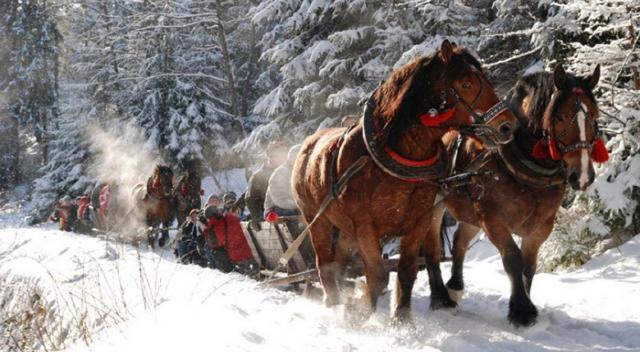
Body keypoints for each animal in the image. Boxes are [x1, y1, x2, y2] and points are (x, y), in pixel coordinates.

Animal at [428, 64, 608, 328]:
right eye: (561, 117)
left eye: (595, 117)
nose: (583, 175)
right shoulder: (493, 220)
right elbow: (513, 259)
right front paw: (521, 311)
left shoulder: (541, 227)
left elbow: (529, 265)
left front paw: (526, 303)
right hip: (434, 207)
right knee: (430, 247)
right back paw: (439, 298)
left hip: (471, 213)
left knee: (460, 240)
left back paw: (455, 287)